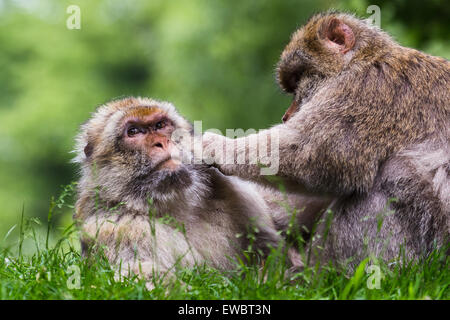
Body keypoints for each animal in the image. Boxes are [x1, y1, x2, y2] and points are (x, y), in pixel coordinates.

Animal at [73, 96, 326, 282]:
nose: (162, 142)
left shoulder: (236, 194)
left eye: (160, 125)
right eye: (133, 132)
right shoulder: (117, 229)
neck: (174, 203)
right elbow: (141, 277)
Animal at [203, 11, 446, 268]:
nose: (286, 116)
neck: (363, 59)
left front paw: (213, 145)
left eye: (298, 77)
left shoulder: (366, 91)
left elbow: (317, 154)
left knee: (395, 173)